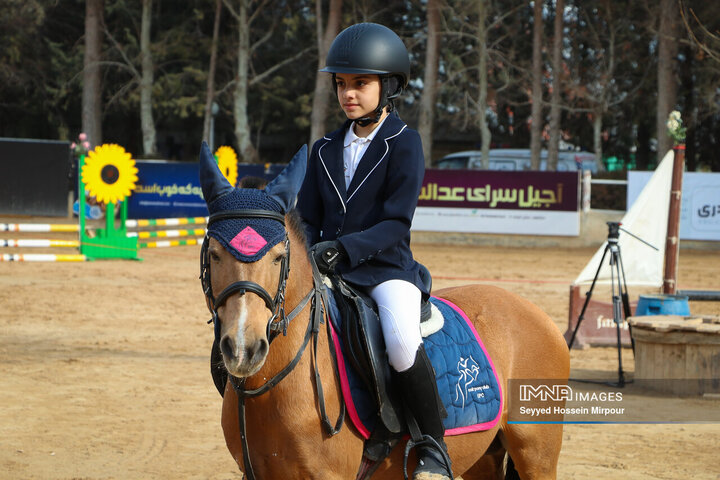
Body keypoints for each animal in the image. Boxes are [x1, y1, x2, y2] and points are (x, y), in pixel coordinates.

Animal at [197, 143, 568, 480]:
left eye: (278, 257)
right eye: (213, 253)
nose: (243, 349)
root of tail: (534, 311)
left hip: (536, 454)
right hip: (484, 456)